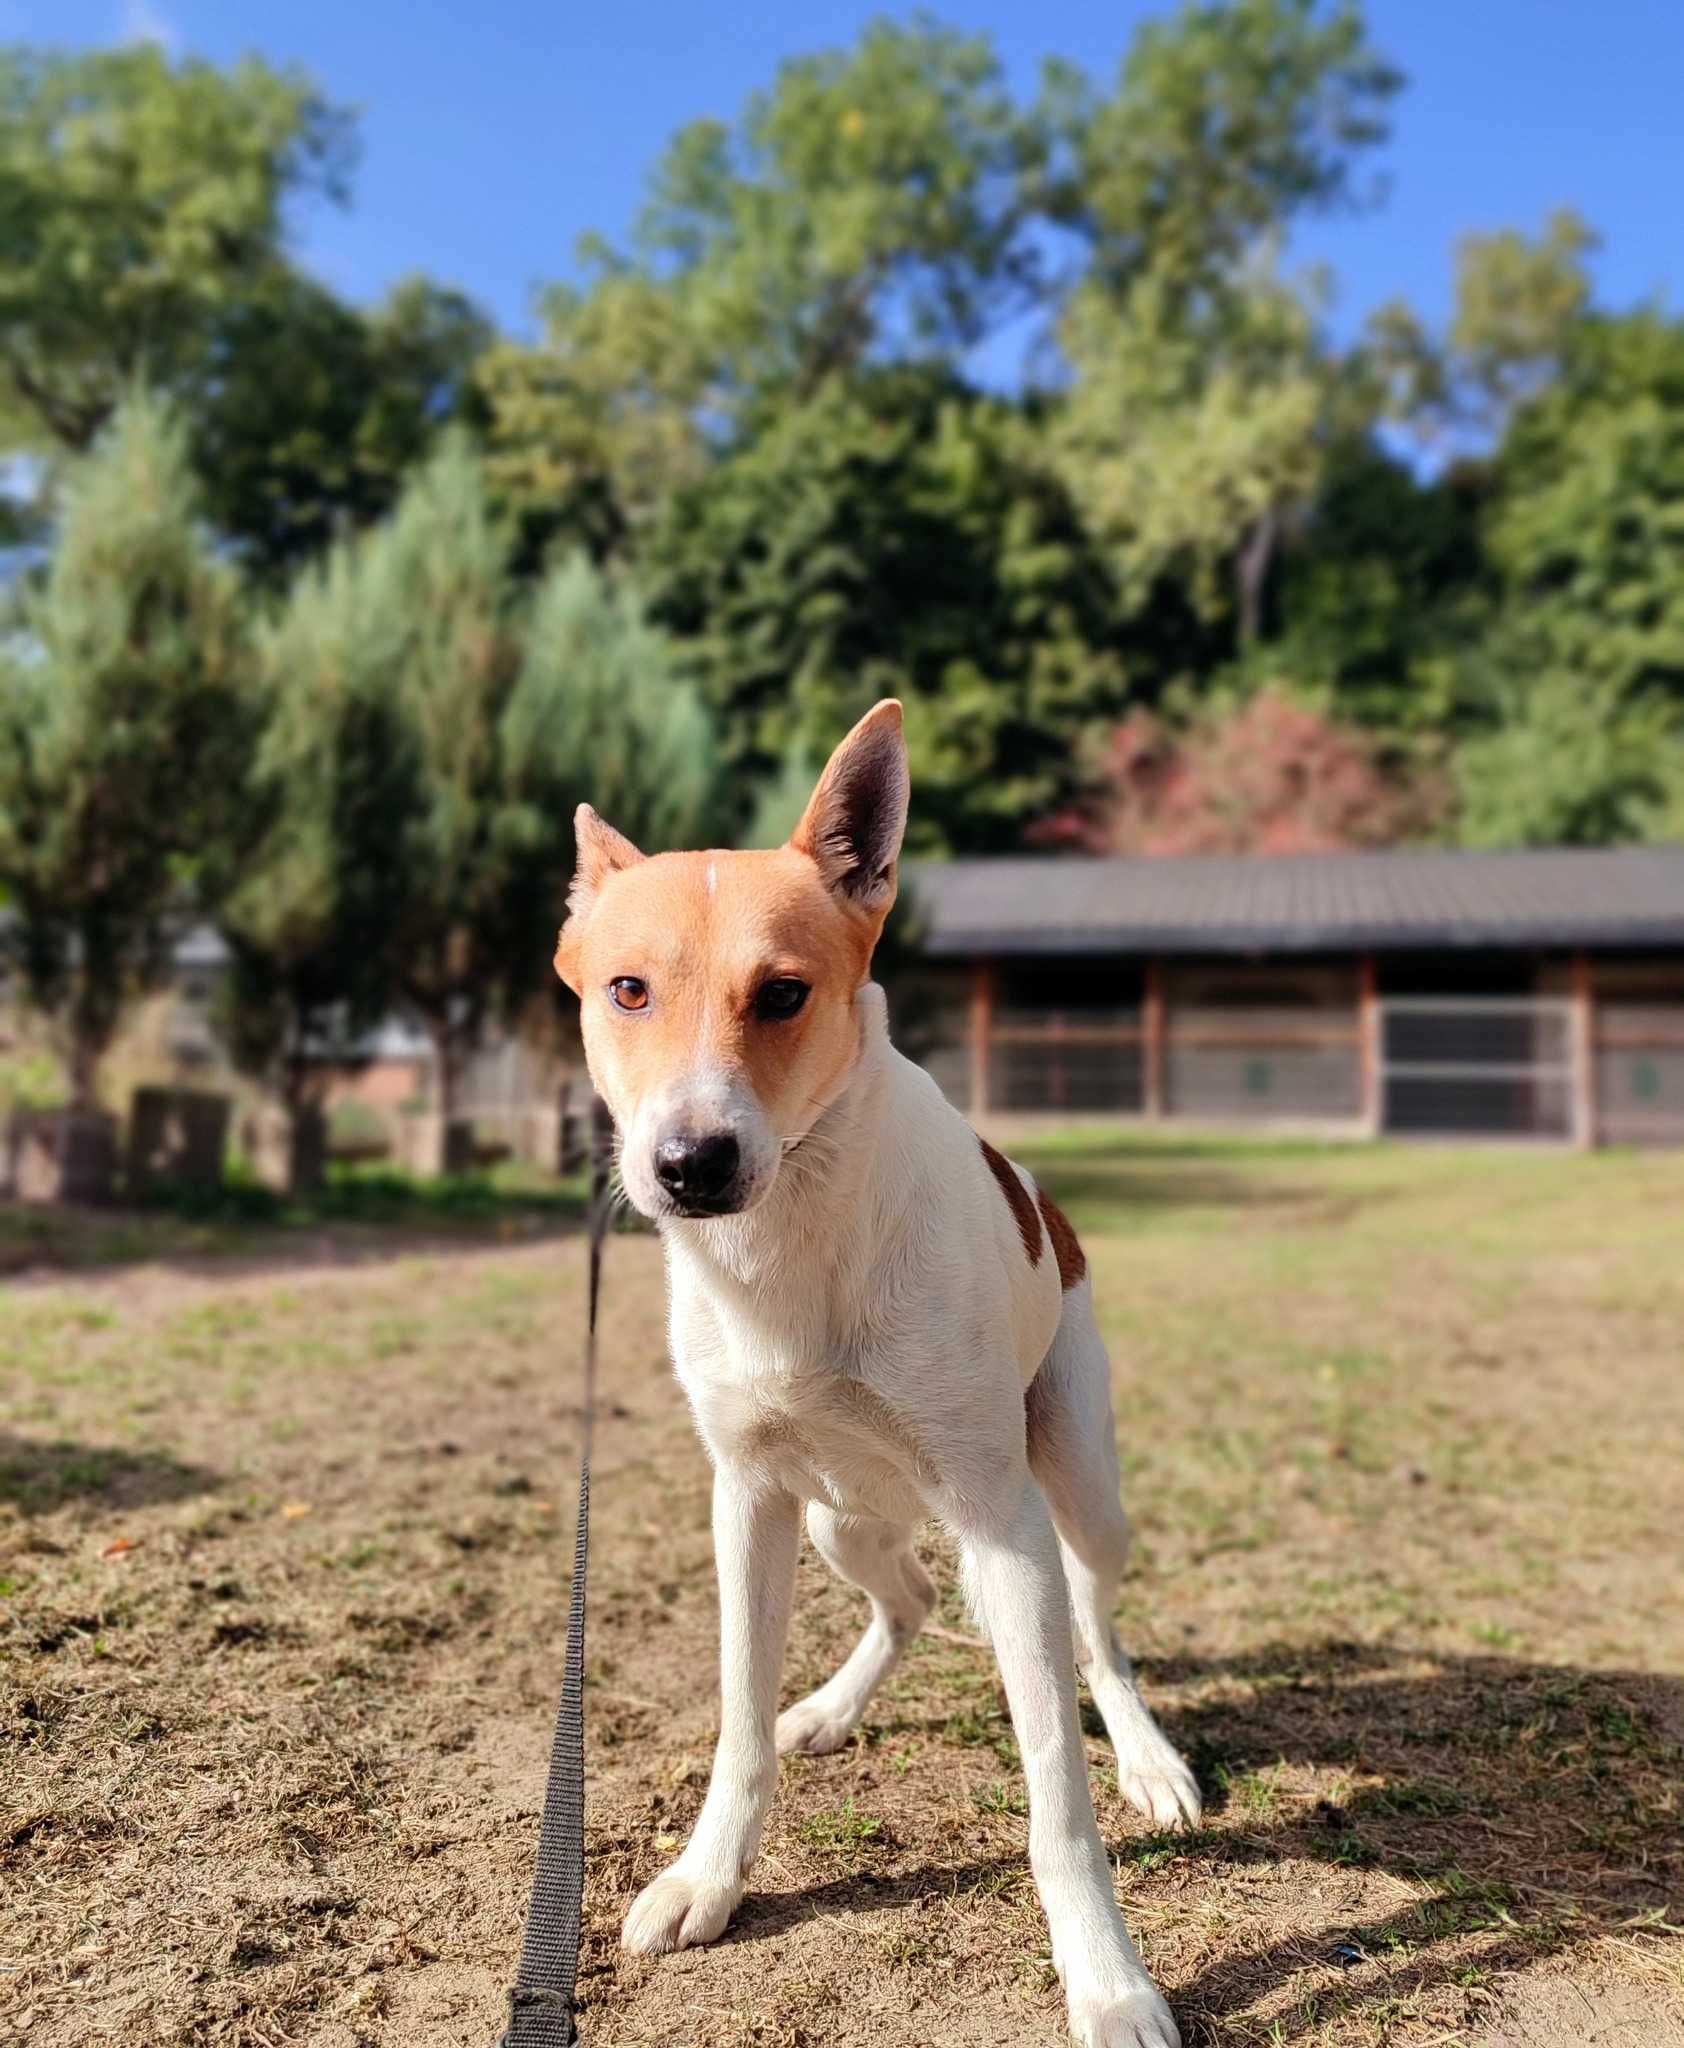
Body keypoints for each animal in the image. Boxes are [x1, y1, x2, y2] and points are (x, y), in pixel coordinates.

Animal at [561, 704, 1204, 2048]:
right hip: (838, 1516)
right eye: (626, 989)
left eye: (784, 992)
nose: (690, 1163)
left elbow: (1056, 1793)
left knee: (1098, 1632)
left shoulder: (1002, 1520)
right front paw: (708, 1874)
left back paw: (1148, 1755)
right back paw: (830, 1706)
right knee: (903, 1596)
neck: (793, 1246)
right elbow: (738, 1724)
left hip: (1075, 1488)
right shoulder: (746, 1499)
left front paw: (1107, 1975)